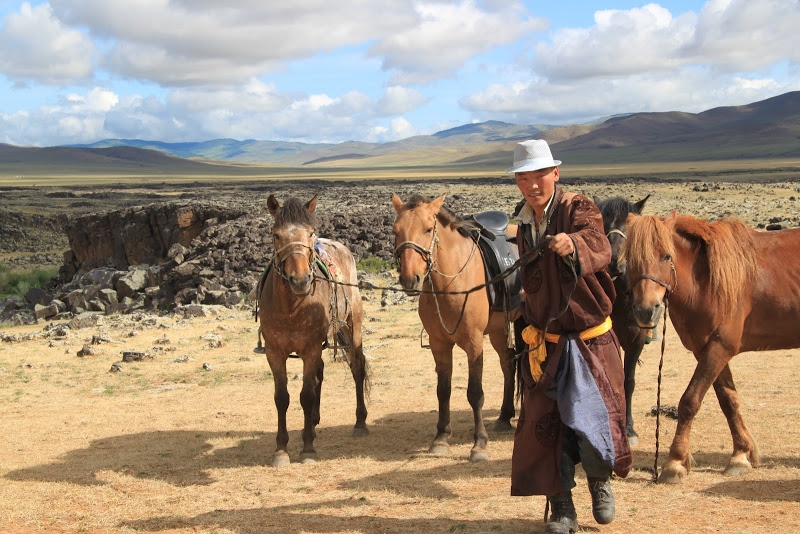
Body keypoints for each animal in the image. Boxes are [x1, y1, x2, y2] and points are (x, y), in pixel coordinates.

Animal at [260, 196, 368, 468]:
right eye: (276, 235)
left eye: (310, 233)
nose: (300, 280)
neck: (291, 306)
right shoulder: (274, 352)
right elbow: (282, 397)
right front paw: (281, 450)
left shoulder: (309, 349)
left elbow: (306, 395)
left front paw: (308, 449)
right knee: (320, 373)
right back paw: (314, 422)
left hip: (352, 325)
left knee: (357, 368)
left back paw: (360, 422)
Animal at [390, 194, 520, 464]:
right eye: (395, 231)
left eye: (428, 229)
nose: (410, 279)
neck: (451, 282)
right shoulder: (439, 345)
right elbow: (443, 390)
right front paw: (441, 438)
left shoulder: (474, 344)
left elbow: (475, 393)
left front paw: (479, 444)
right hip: (498, 331)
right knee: (508, 364)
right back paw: (504, 416)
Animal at [620, 213, 800, 486]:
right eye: (631, 259)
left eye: (667, 256)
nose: (645, 310)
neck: (704, 281)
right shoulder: (706, 349)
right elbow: (729, 401)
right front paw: (740, 455)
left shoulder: (719, 348)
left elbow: (689, 401)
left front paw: (675, 462)